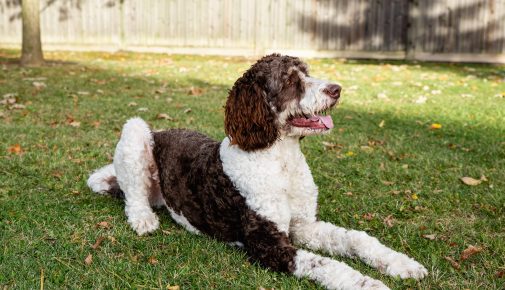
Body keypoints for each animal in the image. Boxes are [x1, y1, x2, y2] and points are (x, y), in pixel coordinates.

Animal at [86, 53, 426, 288]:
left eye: (307, 72)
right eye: (289, 82)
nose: (337, 89)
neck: (281, 160)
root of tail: (162, 132)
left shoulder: (303, 225)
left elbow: (356, 239)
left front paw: (401, 264)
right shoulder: (269, 244)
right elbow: (327, 265)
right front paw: (370, 283)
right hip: (136, 131)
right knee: (133, 195)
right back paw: (143, 220)